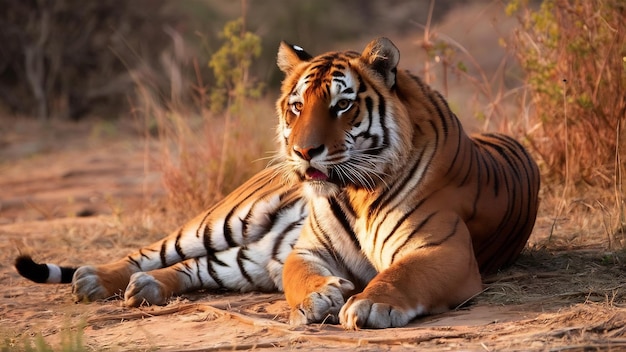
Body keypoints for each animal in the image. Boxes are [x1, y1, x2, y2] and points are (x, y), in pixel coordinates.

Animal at [17, 37, 540, 328]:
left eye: (342, 105)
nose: (304, 152)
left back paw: (145, 288)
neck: (356, 194)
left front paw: (369, 305)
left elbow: (401, 273)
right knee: (155, 251)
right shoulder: (307, 249)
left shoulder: (443, 249)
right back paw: (96, 280)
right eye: (297, 106)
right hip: (226, 219)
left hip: (250, 258)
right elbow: (300, 275)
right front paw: (319, 297)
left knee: (201, 266)